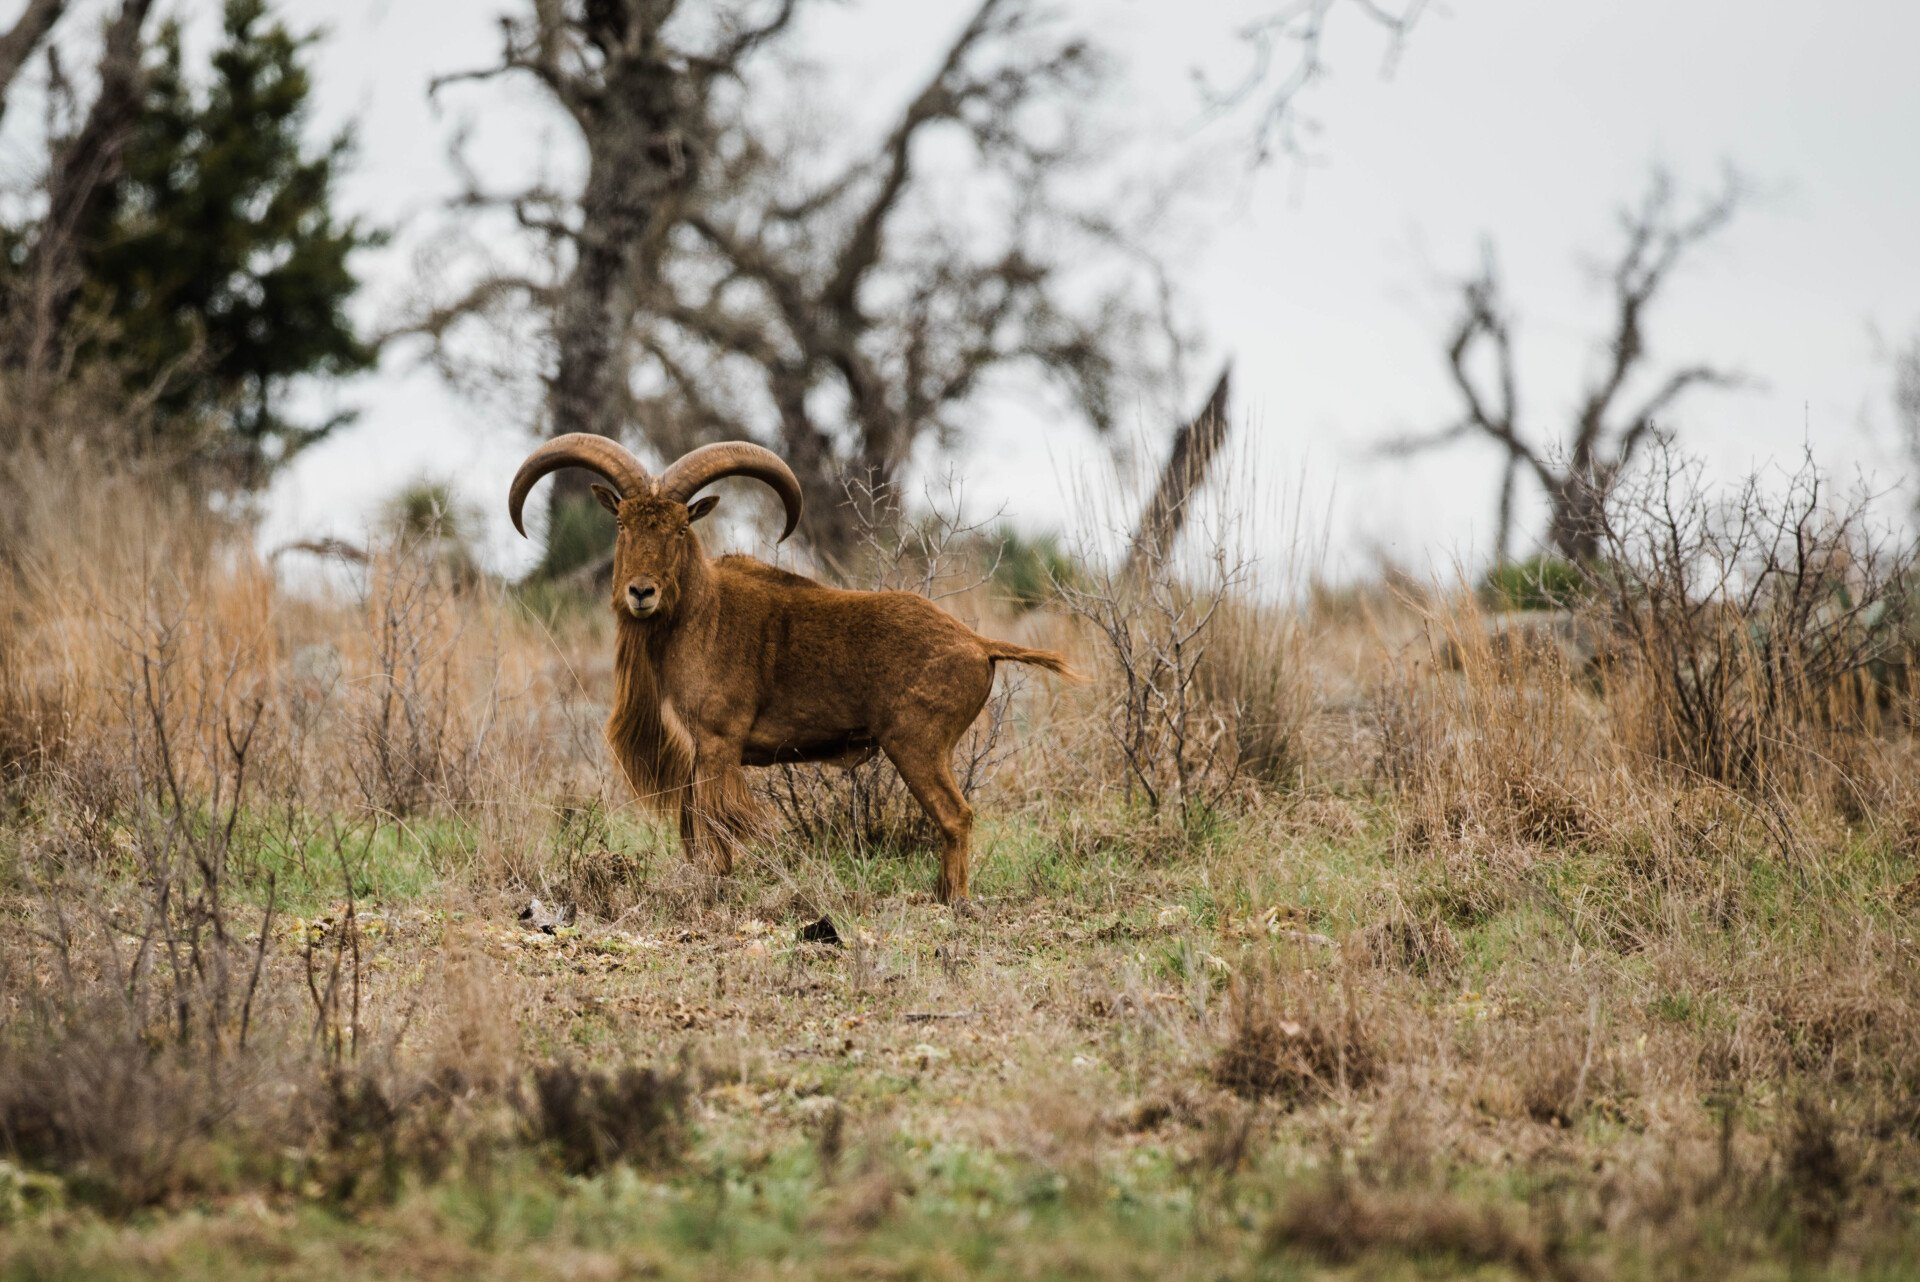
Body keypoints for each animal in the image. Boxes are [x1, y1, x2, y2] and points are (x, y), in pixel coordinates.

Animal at [508, 433, 1077, 910]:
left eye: (678, 526)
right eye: (623, 523)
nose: (641, 592)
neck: (700, 613)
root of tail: (977, 645)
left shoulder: (717, 744)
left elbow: (714, 829)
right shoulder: (697, 751)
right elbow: (694, 828)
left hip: (917, 745)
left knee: (957, 816)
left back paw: (953, 902)